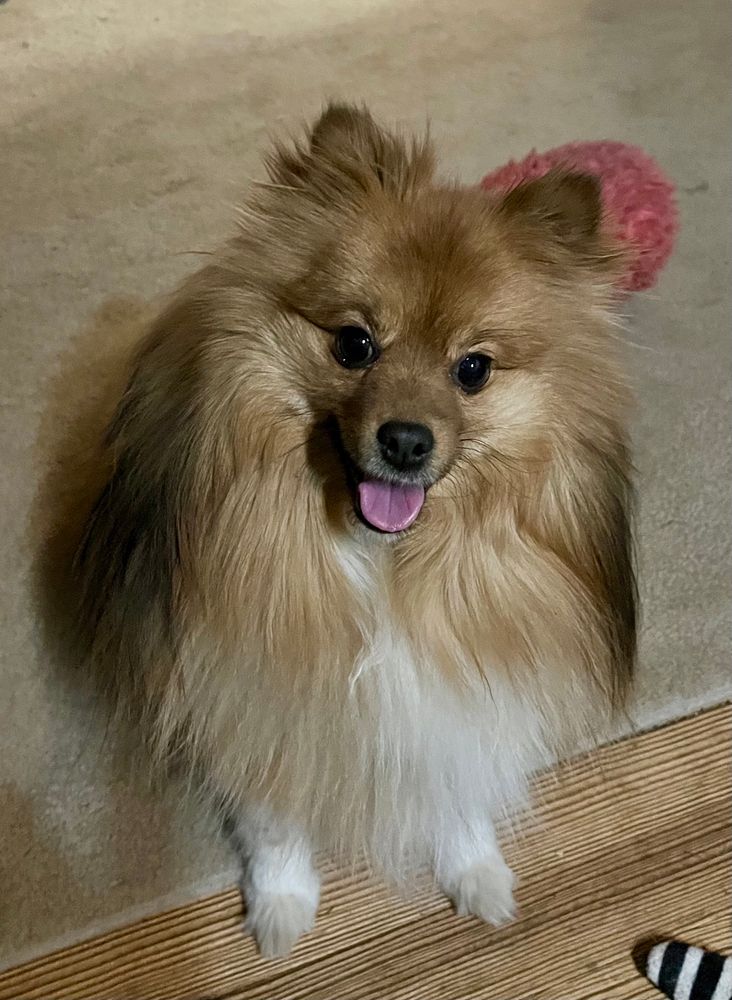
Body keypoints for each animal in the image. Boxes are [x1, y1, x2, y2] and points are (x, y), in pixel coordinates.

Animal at [74, 103, 636, 957]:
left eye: (472, 369)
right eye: (354, 344)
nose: (405, 441)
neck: (387, 562)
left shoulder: (467, 677)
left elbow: (458, 775)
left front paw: (475, 873)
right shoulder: (251, 677)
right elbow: (274, 815)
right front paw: (280, 905)